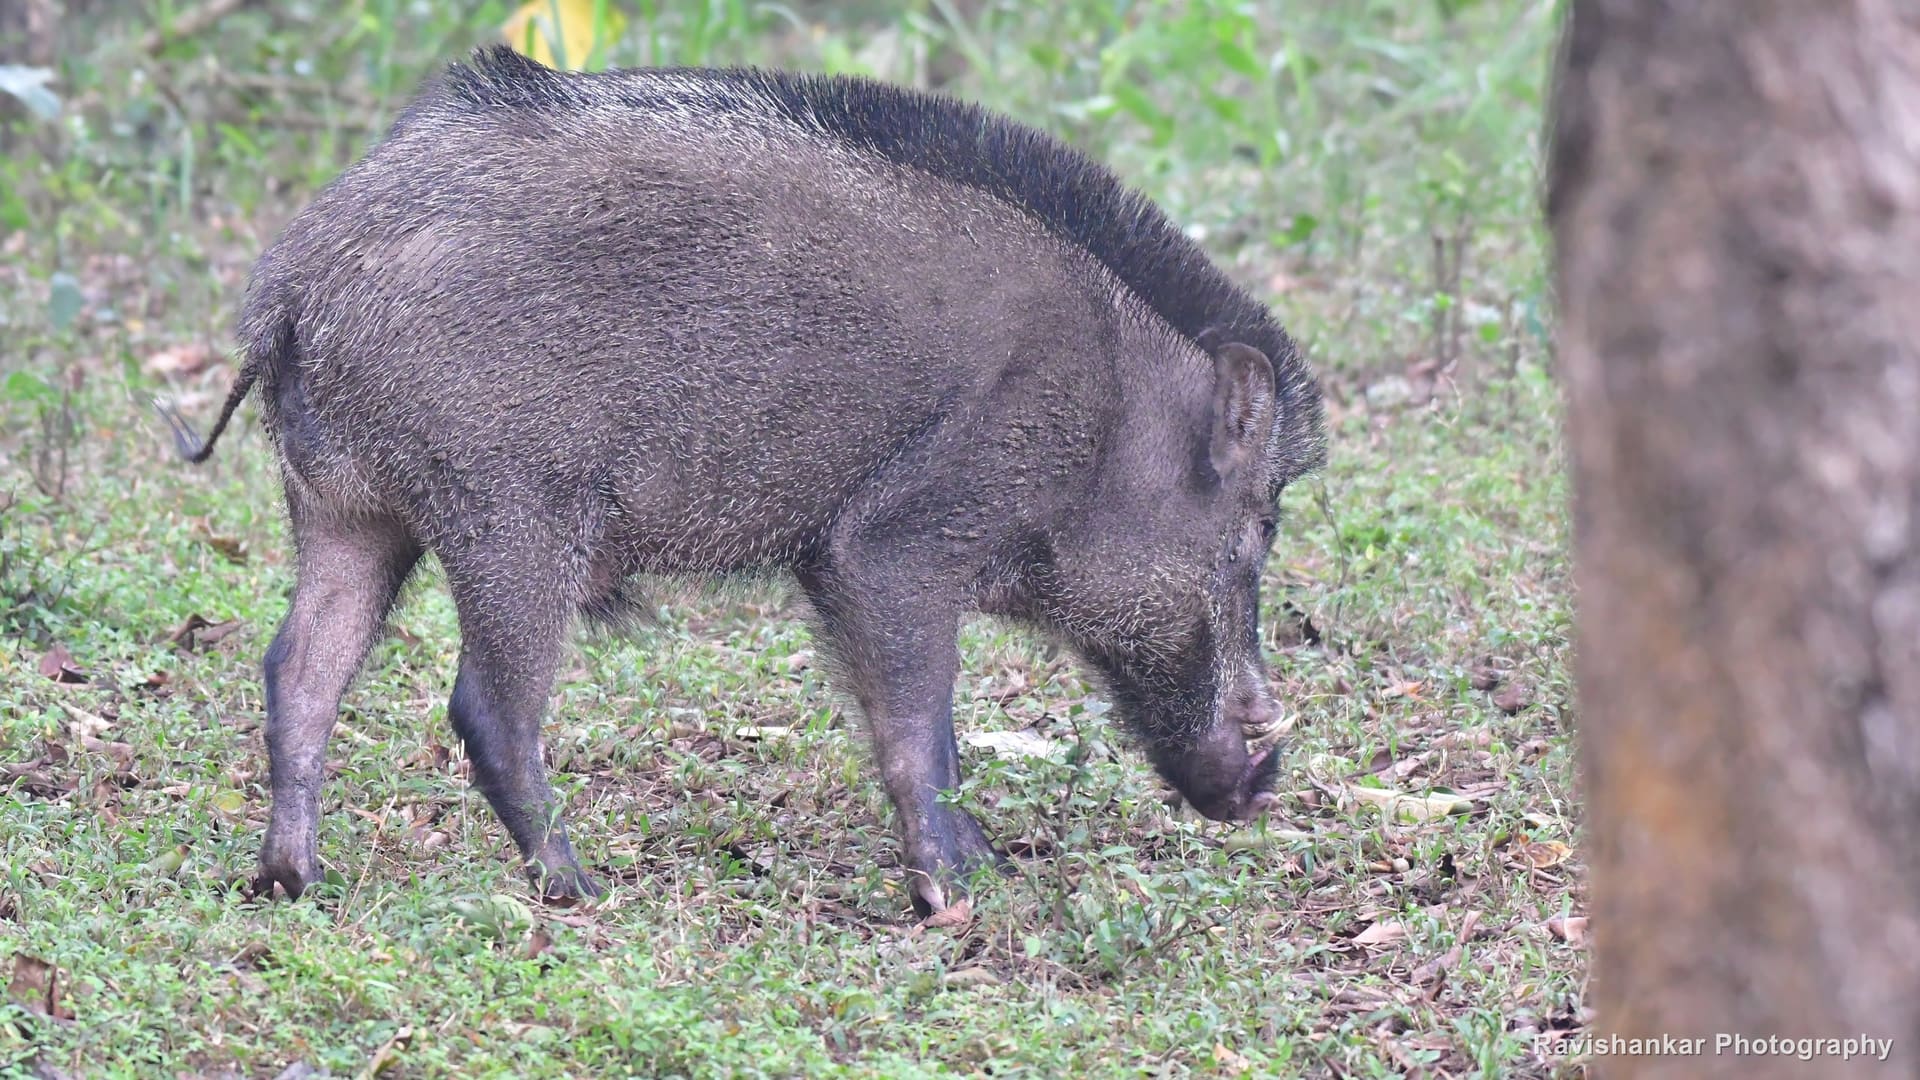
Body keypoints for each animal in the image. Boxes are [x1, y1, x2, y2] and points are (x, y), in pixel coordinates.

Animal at [168, 46, 1325, 914]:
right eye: (1260, 525)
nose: (1263, 785)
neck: (1110, 417)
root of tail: (299, 279)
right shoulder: (887, 545)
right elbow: (918, 725)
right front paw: (956, 897)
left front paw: (984, 871)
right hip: (511, 516)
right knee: (487, 709)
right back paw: (580, 889)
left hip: (348, 509)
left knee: (299, 672)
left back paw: (290, 881)